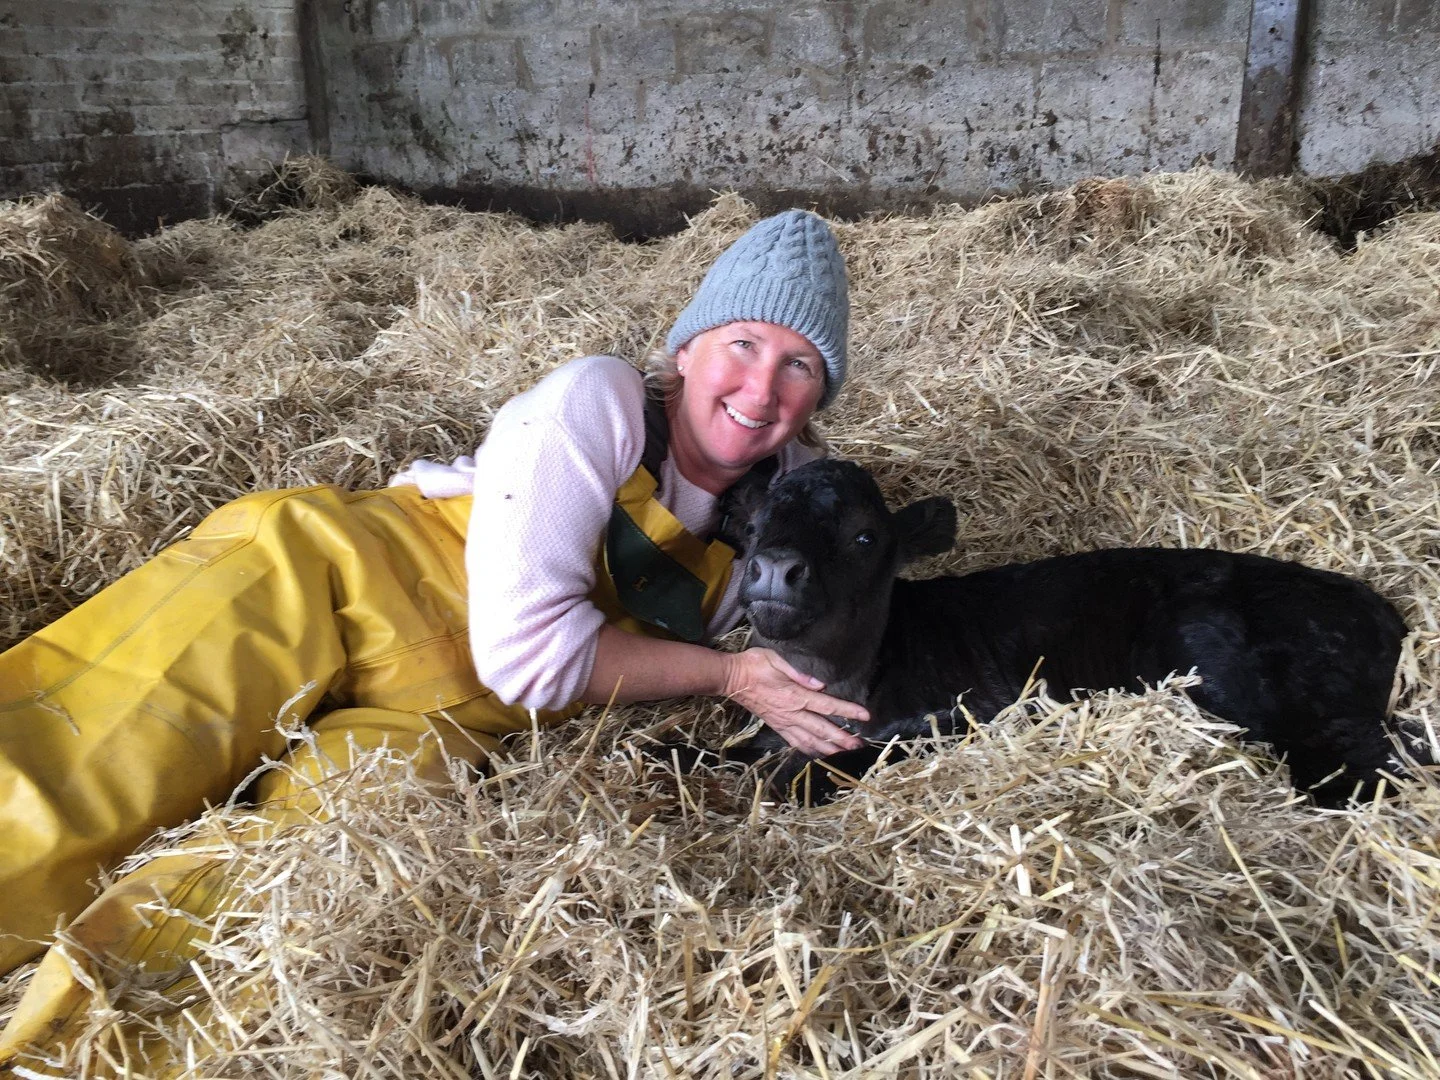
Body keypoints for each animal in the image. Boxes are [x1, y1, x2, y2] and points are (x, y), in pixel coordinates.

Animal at [700, 458, 1419, 807]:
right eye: (755, 526)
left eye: (863, 537)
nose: (775, 568)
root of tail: (1379, 608)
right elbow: (703, 756)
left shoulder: (971, 713)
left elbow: (822, 770)